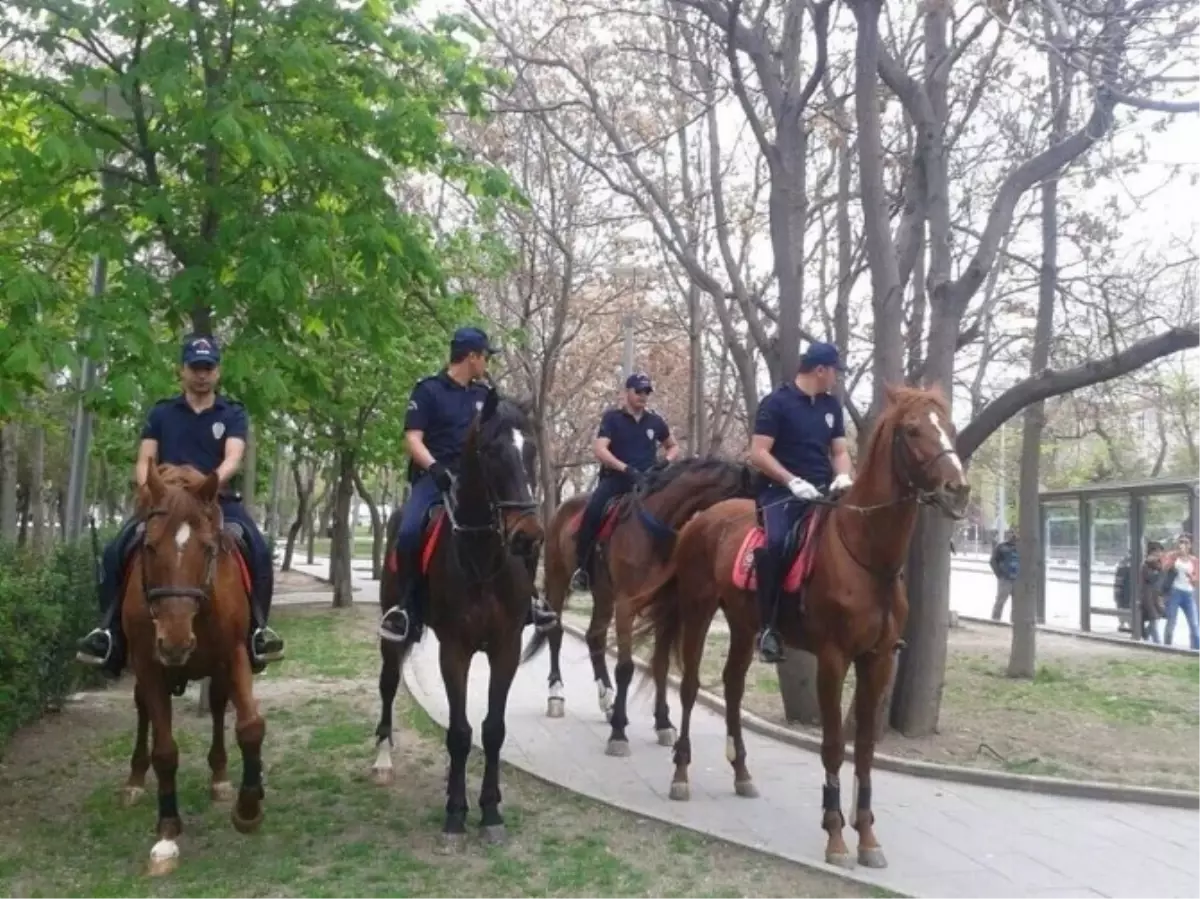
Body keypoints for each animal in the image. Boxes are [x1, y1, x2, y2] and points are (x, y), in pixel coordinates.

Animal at [117, 458, 267, 873]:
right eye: (150, 547)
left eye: (208, 547)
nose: (175, 642)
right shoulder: (148, 664)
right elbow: (165, 751)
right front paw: (167, 831)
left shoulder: (235, 653)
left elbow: (250, 727)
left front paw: (248, 809)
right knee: (144, 712)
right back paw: (135, 780)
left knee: (216, 706)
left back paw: (220, 776)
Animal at [372, 391, 547, 849]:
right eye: (492, 451)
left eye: (532, 451)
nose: (528, 536)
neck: (482, 558)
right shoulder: (454, 651)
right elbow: (459, 732)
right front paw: (455, 813)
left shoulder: (505, 649)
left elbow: (492, 730)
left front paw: (490, 811)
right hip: (392, 634)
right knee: (388, 685)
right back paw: (382, 760)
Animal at [532, 456, 753, 758]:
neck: (655, 530)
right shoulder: (626, 605)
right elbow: (625, 668)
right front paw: (619, 732)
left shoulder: (665, 609)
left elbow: (660, 665)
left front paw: (663, 723)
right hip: (558, 578)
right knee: (556, 631)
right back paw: (557, 694)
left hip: (604, 594)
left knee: (594, 637)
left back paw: (607, 699)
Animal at [633, 386, 969, 868]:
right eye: (912, 430)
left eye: (950, 426)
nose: (957, 489)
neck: (868, 556)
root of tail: (703, 518)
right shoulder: (832, 659)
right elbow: (833, 745)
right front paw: (835, 834)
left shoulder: (878, 660)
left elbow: (865, 747)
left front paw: (868, 837)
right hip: (697, 611)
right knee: (691, 687)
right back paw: (681, 774)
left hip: (743, 624)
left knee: (732, 685)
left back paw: (742, 771)